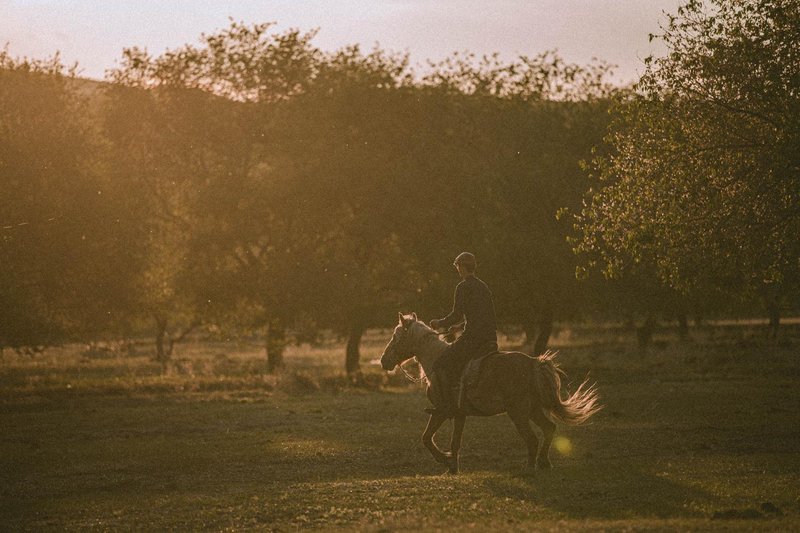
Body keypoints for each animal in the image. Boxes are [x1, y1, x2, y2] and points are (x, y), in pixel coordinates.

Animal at [382, 312, 600, 474]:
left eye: (395, 337)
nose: (384, 361)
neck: (435, 360)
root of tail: (533, 363)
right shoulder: (459, 414)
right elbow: (454, 442)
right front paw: (452, 467)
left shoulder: (442, 412)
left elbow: (427, 438)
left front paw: (444, 460)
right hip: (533, 409)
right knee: (549, 429)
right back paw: (543, 462)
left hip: (518, 412)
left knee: (532, 438)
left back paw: (530, 468)